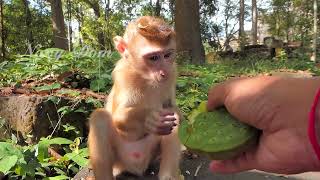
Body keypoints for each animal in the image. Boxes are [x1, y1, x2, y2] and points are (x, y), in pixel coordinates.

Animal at [88, 16, 182, 179]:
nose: (164, 72)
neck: (146, 78)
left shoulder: (173, 71)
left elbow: (171, 107)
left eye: (167, 55)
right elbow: (119, 117)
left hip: (150, 153)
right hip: (119, 158)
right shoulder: (123, 75)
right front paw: (149, 117)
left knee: (172, 116)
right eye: (153, 57)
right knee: (100, 117)